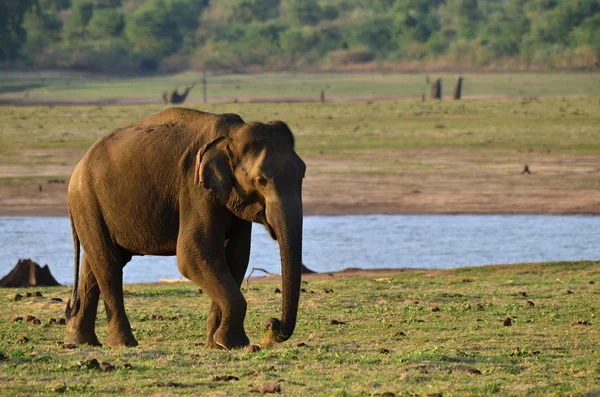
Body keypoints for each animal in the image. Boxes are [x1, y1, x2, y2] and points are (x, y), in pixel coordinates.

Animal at [67, 106, 304, 348]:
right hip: (88, 202)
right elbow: (194, 255)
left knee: (93, 265)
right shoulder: (195, 186)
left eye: (302, 173)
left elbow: (236, 257)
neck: (233, 133)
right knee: (109, 264)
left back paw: (82, 341)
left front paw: (217, 345)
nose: (271, 325)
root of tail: (79, 166)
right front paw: (237, 344)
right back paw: (124, 343)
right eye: (260, 180)